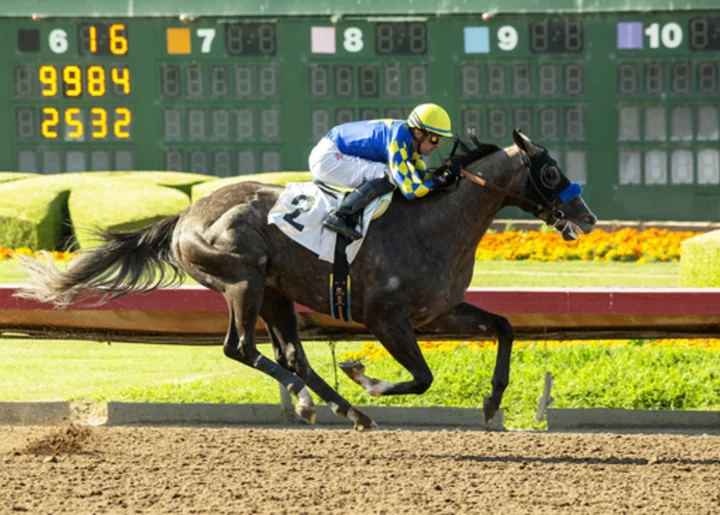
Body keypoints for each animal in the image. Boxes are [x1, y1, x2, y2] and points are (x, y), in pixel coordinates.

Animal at [19, 130, 600, 432]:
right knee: (242, 348)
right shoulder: (386, 320)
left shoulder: (438, 310)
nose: (588, 217)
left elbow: (504, 326)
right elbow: (421, 378)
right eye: (550, 172)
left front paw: (491, 402)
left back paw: (346, 410)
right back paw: (312, 401)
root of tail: (185, 214)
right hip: (243, 280)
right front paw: (365, 374)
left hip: (276, 292)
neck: (435, 224)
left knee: (290, 355)